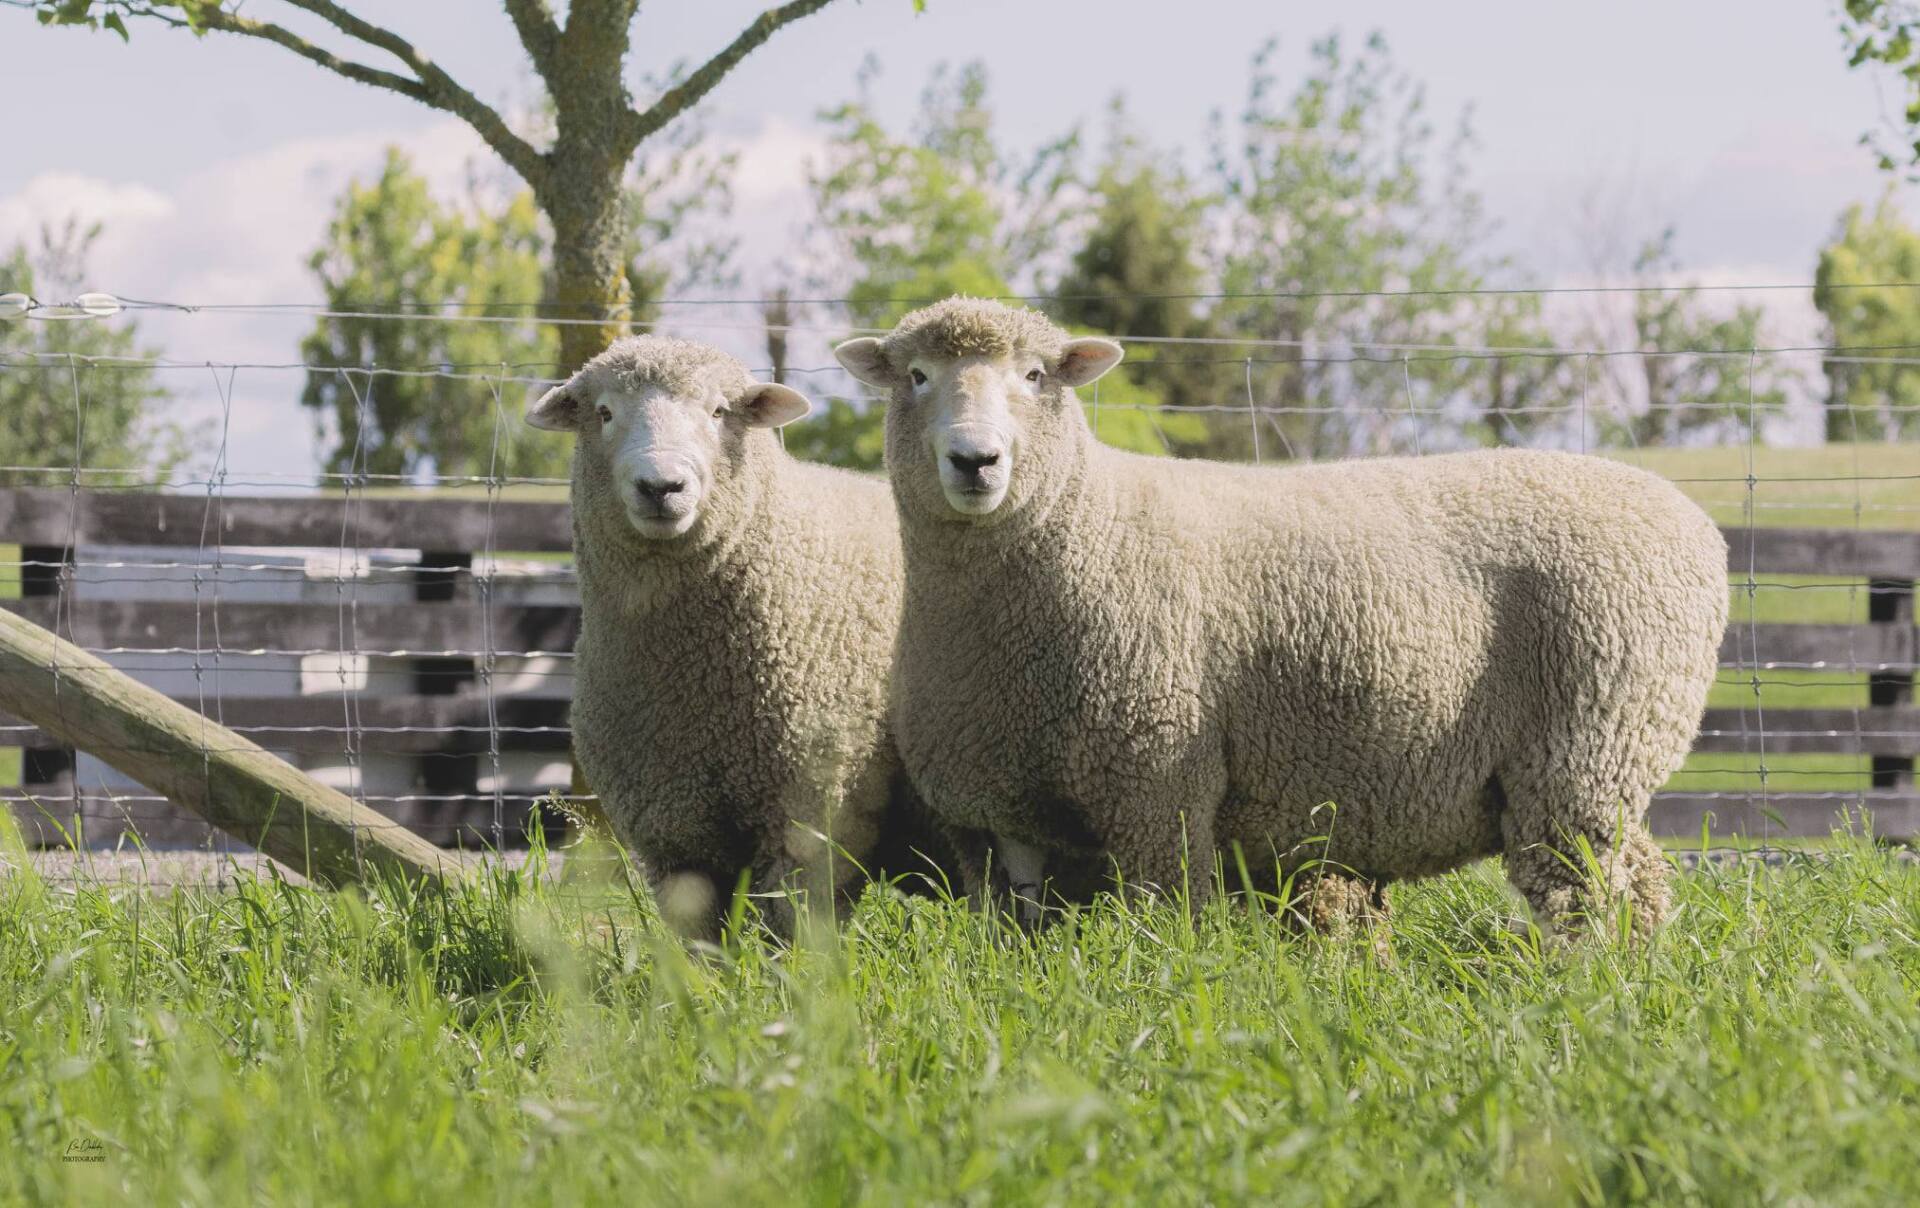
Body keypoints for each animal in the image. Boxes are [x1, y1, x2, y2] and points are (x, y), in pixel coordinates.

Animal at [527, 334, 949, 943]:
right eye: (603, 413)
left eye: (719, 411)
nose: (661, 487)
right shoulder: (672, 827)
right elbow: (701, 943)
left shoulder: (810, 816)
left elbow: (787, 935)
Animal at [834, 297, 1728, 937]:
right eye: (917, 375)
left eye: (1033, 376)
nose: (975, 460)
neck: (1085, 527)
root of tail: (1697, 524)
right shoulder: (998, 811)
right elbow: (1022, 950)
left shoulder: (1158, 780)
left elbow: (1168, 920)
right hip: (1596, 769)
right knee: (1642, 883)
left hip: (1587, 746)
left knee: (1582, 899)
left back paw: (1584, 994)